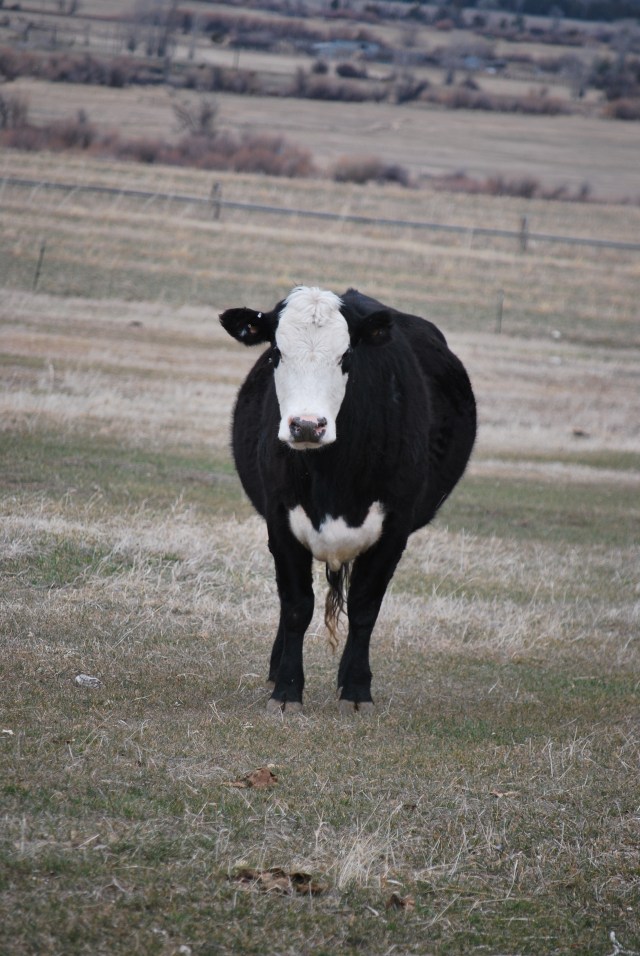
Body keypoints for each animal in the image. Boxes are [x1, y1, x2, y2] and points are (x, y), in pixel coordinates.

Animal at [220, 286, 476, 714]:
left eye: (347, 356)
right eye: (275, 353)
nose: (307, 425)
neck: (331, 481)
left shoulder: (394, 530)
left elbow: (364, 608)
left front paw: (356, 689)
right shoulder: (280, 521)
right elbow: (296, 605)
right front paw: (286, 690)